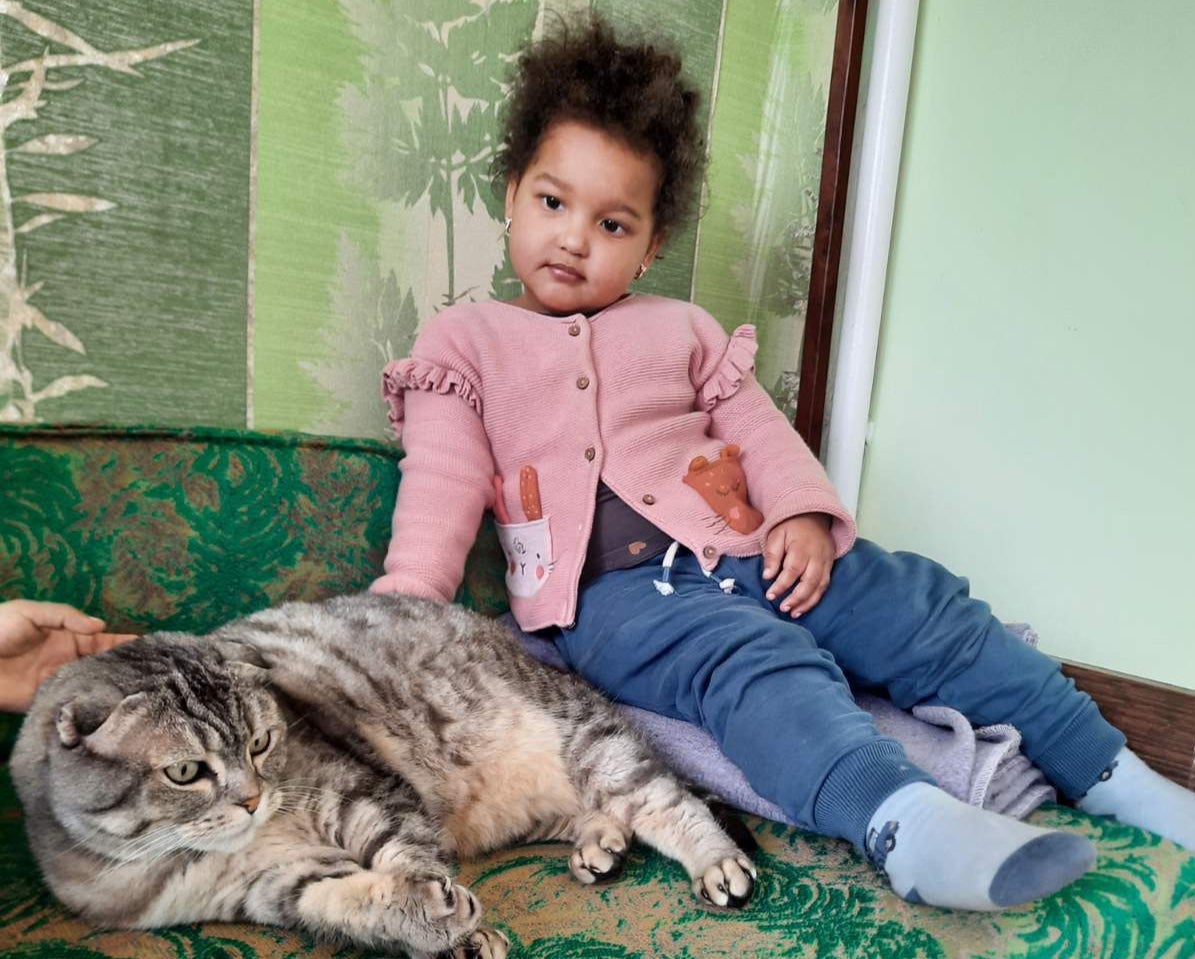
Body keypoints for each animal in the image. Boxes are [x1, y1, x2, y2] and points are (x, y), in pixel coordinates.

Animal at [11, 592, 755, 959]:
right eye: (187, 771)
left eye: (261, 742)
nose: (252, 799)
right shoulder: (275, 886)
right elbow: (348, 903)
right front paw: (430, 924)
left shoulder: (367, 794)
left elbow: (405, 854)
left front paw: (457, 925)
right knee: (597, 812)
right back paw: (600, 845)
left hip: (588, 739)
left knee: (667, 801)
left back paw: (715, 863)